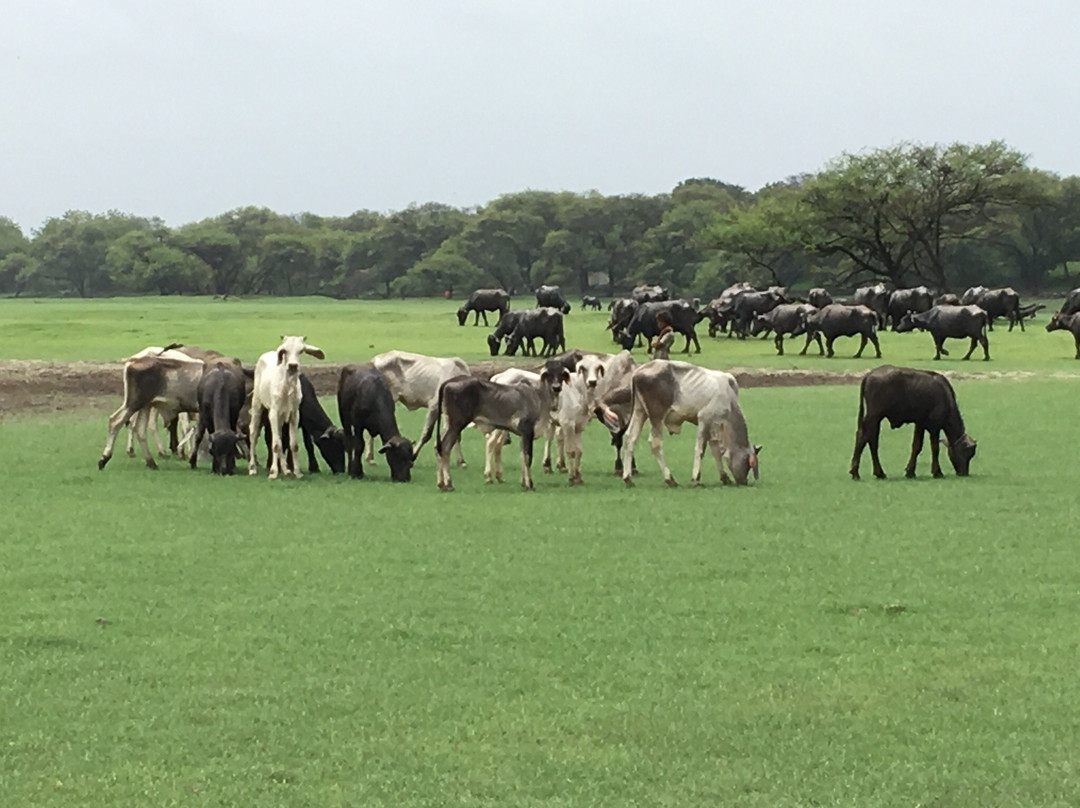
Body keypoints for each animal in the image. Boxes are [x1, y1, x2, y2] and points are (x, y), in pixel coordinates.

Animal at [248, 337, 324, 479]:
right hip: (257, 404)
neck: (287, 388)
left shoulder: (294, 414)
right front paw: (273, 473)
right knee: (253, 434)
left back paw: (285, 469)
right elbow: (276, 444)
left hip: (281, 417)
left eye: (301, 350)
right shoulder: (273, 413)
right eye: (285, 351)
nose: (293, 366)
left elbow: (293, 444)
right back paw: (252, 468)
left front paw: (297, 472)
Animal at [851, 365, 980, 479]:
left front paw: (910, 472)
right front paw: (937, 472)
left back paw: (874, 473)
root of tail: (869, 374)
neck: (945, 397)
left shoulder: (920, 424)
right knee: (865, 438)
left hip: (876, 418)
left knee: (869, 439)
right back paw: (859, 472)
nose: (964, 472)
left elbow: (916, 446)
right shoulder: (935, 426)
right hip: (874, 416)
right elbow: (935, 448)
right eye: (967, 453)